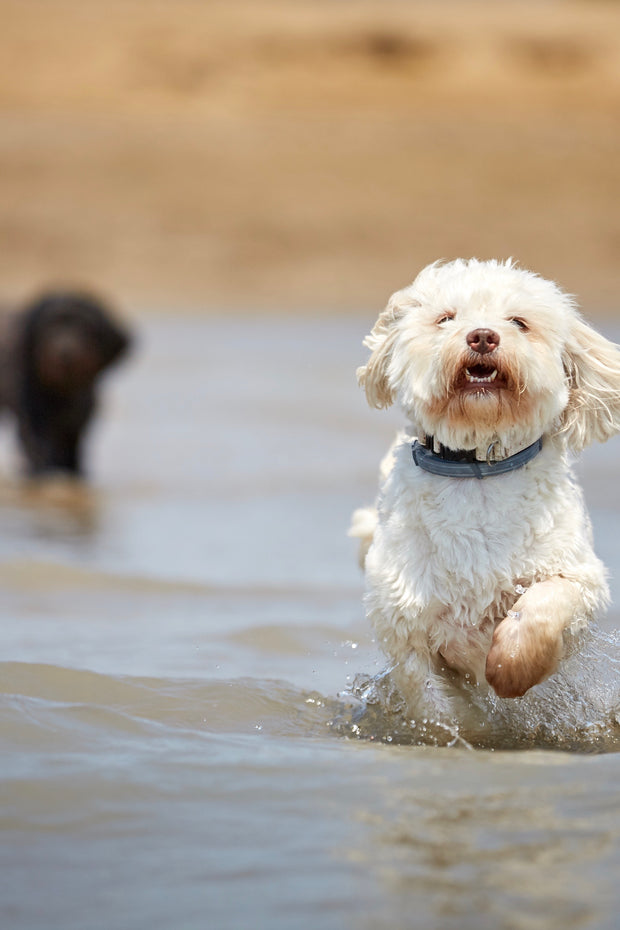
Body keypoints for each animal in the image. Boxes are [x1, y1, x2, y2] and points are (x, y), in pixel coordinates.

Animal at [0, 290, 132, 474]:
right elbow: (38, 446)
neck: (63, 391)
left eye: (84, 326)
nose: (65, 353)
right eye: (51, 326)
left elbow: (72, 448)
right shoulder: (32, 414)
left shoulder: (79, 419)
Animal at [352, 258, 620, 720]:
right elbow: (438, 707)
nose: (482, 336)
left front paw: (511, 668)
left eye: (519, 322)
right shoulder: (405, 624)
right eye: (445, 318)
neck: (478, 467)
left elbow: (541, 606)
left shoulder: (581, 578)